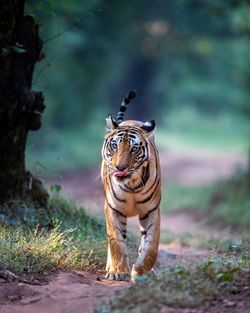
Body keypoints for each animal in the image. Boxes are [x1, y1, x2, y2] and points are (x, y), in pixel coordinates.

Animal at [101, 89, 161, 280]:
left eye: (134, 149)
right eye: (114, 146)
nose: (120, 167)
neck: (131, 184)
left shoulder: (151, 210)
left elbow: (151, 245)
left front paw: (141, 272)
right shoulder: (113, 208)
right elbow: (116, 241)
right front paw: (118, 271)